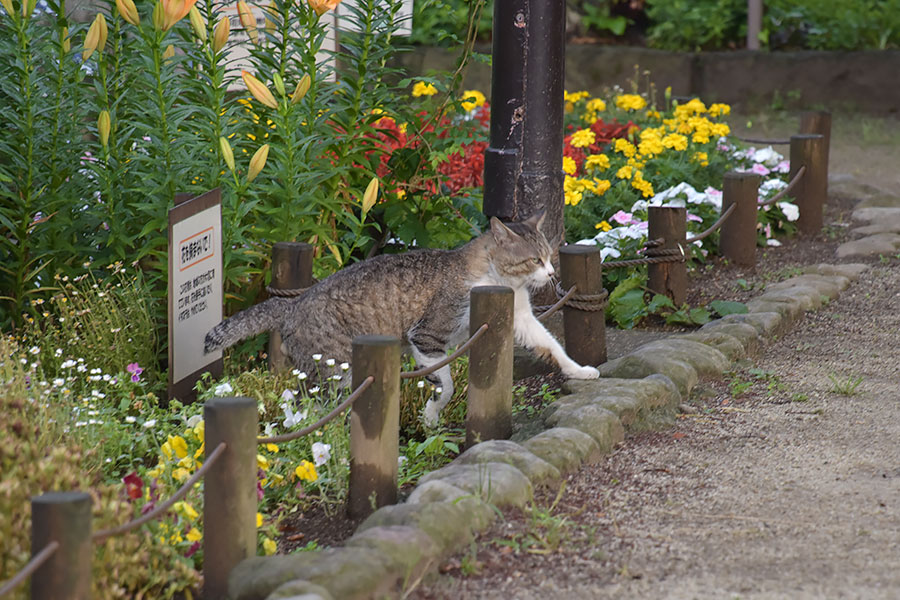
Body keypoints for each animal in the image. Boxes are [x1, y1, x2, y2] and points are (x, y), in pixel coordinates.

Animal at [204, 213, 596, 424]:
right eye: (534, 260)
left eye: (549, 256)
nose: (551, 275)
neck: (500, 283)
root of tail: (294, 303)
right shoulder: (426, 337)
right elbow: (445, 384)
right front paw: (431, 415)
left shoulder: (523, 318)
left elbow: (552, 345)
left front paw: (580, 371)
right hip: (336, 370)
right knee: (311, 408)